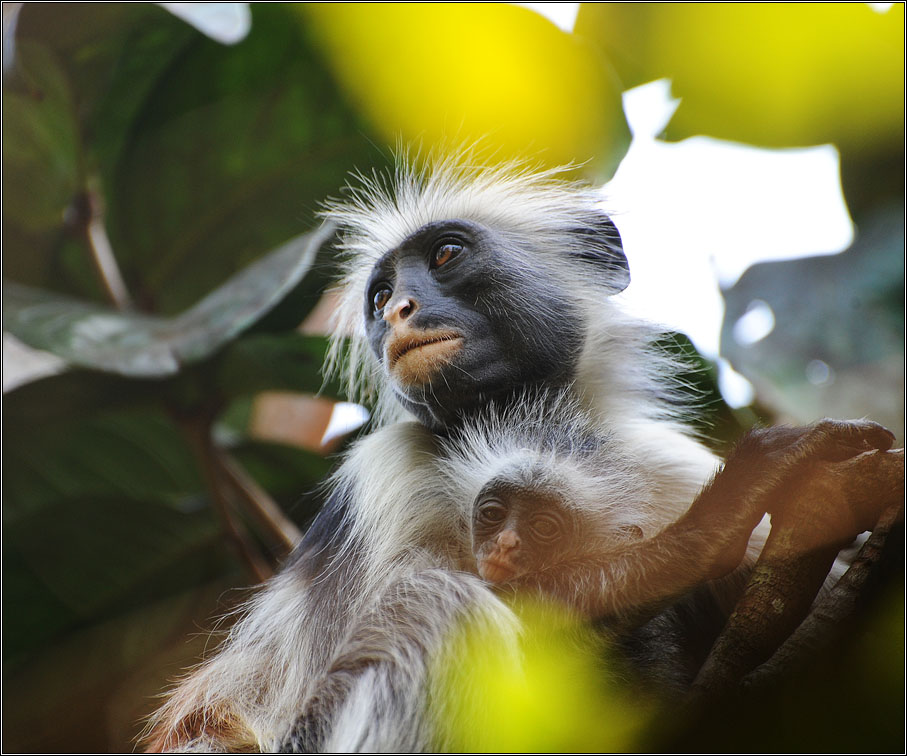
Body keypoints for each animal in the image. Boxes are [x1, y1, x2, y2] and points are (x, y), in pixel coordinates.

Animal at [144, 154, 892, 752]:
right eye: (379, 295)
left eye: (446, 255)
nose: (397, 311)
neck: (531, 420)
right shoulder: (386, 473)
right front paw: (705, 531)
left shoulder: (668, 463)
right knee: (438, 605)